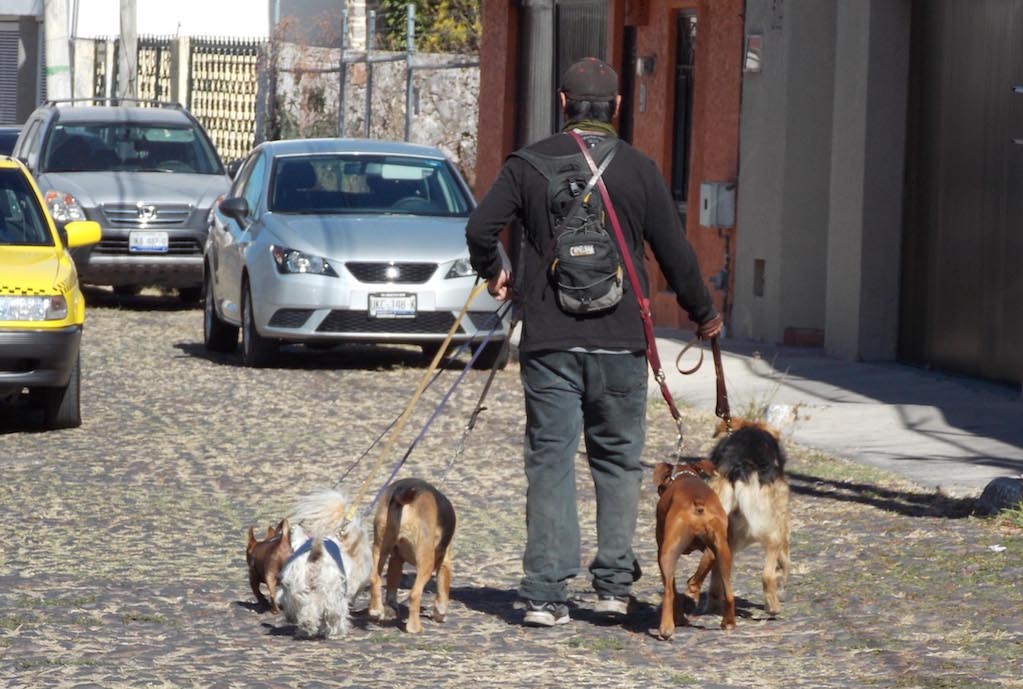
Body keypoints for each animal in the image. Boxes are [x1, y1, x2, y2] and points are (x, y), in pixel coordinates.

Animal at [278, 488, 374, 637]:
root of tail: (314, 556)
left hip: (297, 590)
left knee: (306, 610)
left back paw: (305, 627)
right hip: (332, 594)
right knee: (333, 614)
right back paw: (336, 632)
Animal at [368, 478, 456, 633]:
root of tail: (402, 491)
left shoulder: (396, 559)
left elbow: (392, 587)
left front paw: (390, 608)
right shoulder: (444, 562)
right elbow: (442, 591)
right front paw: (440, 614)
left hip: (380, 548)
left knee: (375, 579)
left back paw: (376, 610)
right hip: (426, 561)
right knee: (414, 594)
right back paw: (414, 628)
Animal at [654, 457, 736, 637]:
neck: (684, 476)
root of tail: (698, 503)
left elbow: (673, 588)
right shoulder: (713, 550)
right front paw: (692, 591)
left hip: (667, 554)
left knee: (669, 593)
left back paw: (667, 628)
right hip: (723, 551)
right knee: (728, 592)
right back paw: (728, 622)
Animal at [687, 415, 789, 613]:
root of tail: (741, 467)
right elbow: (785, 555)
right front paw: (782, 574)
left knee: (709, 560)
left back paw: (707, 600)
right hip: (771, 529)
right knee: (767, 574)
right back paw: (773, 605)